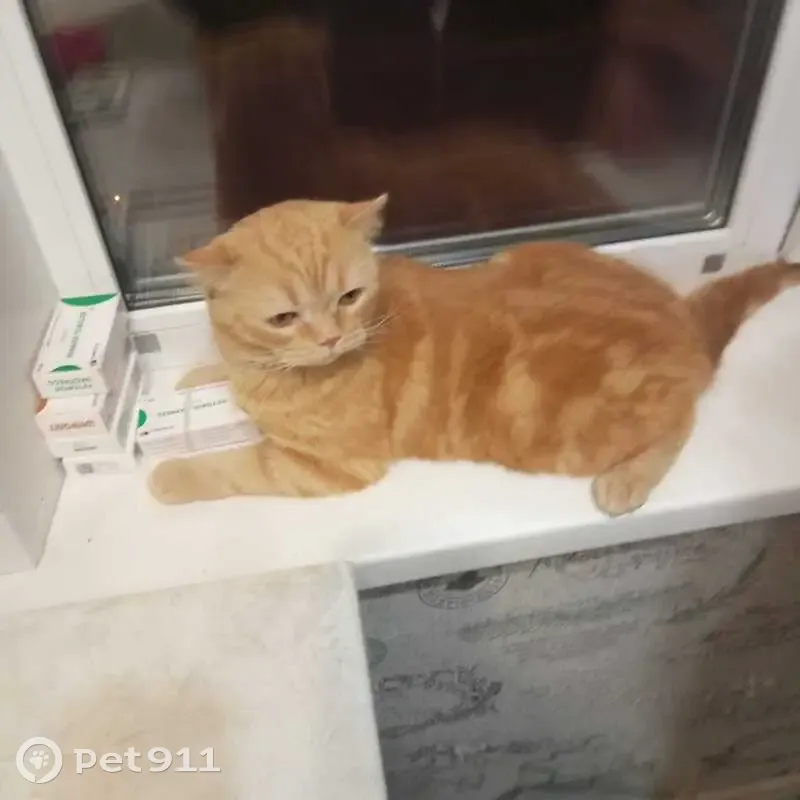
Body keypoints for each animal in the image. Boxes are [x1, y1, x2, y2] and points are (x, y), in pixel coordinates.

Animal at [149, 196, 799, 514]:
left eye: (349, 297)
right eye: (285, 318)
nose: (332, 339)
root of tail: (680, 314)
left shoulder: (325, 467)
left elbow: (235, 466)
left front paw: (170, 475)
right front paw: (196, 376)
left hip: (591, 431)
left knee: (682, 421)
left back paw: (628, 481)